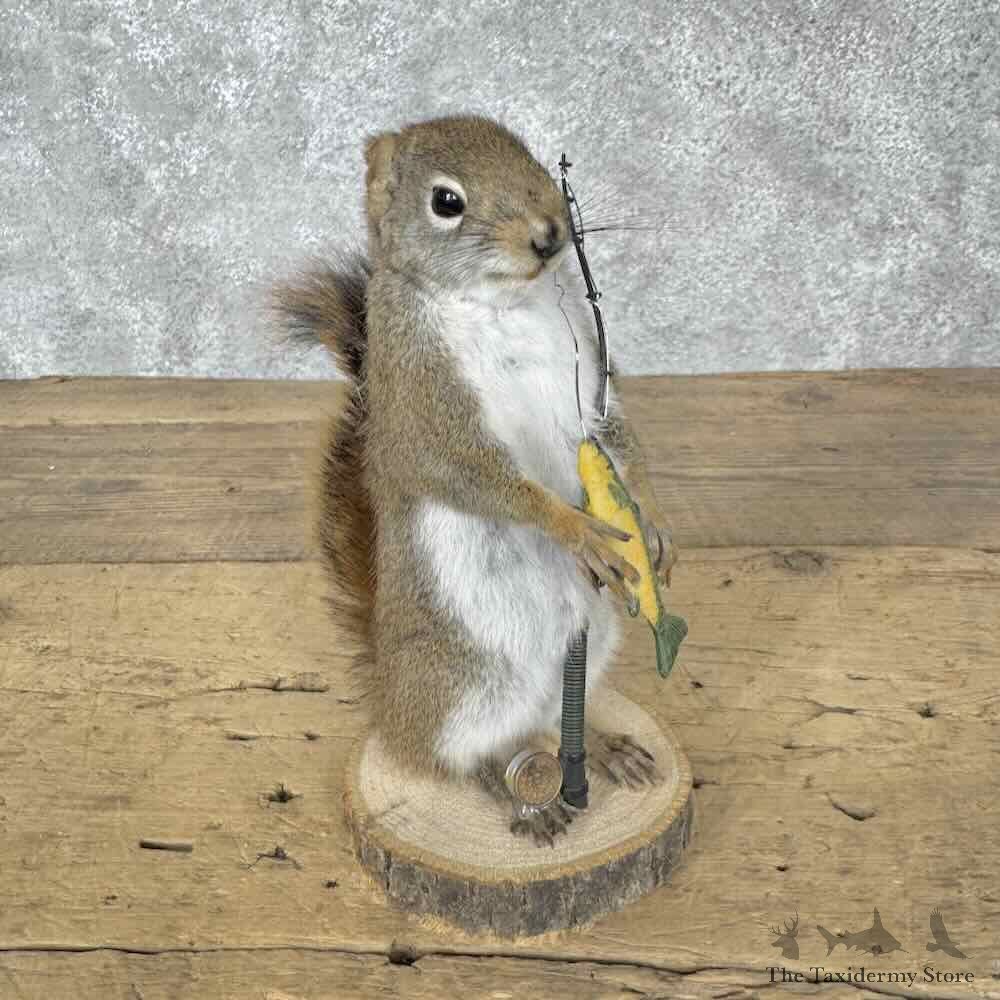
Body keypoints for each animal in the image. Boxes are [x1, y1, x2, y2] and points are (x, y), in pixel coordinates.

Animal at [275, 114, 678, 846]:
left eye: (529, 154)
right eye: (446, 202)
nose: (549, 234)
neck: (501, 303)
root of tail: (390, 701)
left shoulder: (592, 382)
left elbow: (621, 436)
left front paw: (655, 523)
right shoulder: (420, 396)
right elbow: (474, 473)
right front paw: (576, 528)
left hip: (590, 645)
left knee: (553, 719)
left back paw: (603, 746)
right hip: (462, 687)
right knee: (460, 756)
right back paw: (522, 795)